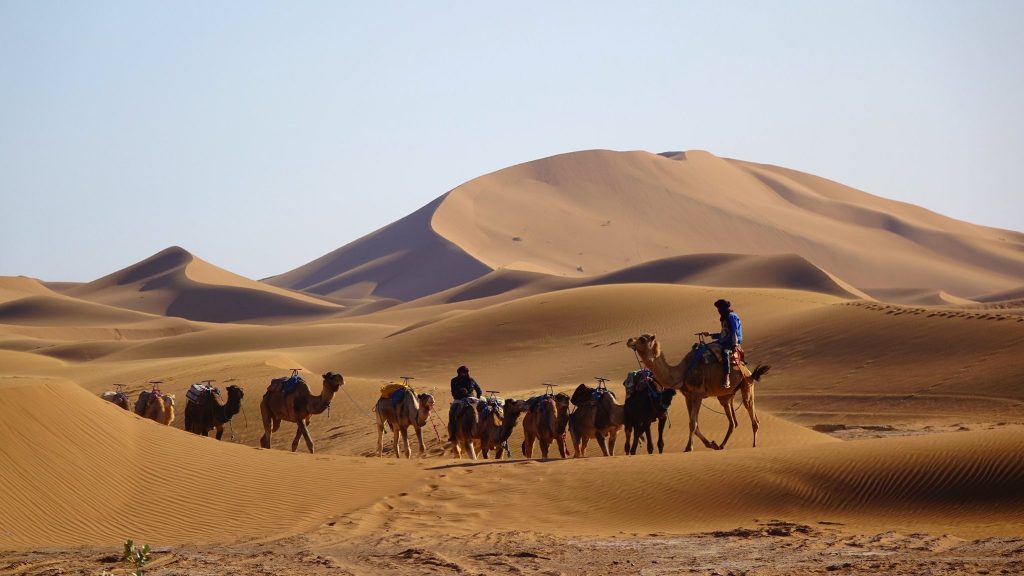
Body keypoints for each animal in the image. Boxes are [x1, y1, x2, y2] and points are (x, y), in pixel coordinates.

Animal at [626, 333, 769, 452]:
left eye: (642, 339)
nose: (629, 340)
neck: (682, 373)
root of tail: (748, 371)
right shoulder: (688, 396)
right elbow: (694, 424)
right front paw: (711, 444)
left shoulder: (698, 395)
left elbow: (692, 423)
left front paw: (689, 448)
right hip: (725, 396)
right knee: (733, 422)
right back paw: (721, 445)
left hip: (746, 384)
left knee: (751, 413)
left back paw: (754, 445)